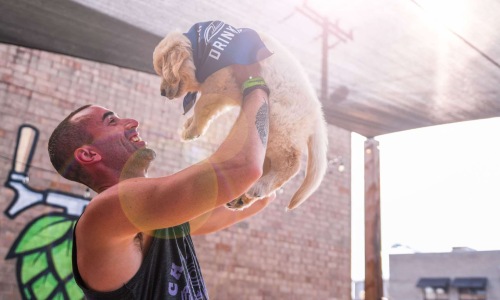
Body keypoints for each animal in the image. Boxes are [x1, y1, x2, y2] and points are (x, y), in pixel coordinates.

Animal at [154, 20, 330, 211]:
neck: (203, 49)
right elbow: (207, 110)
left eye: (163, 70)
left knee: (291, 163)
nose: (162, 92)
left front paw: (190, 131)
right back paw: (242, 199)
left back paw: (260, 187)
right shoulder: (223, 92)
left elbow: (201, 106)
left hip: (280, 125)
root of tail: (317, 116)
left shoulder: (219, 84)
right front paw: (189, 125)